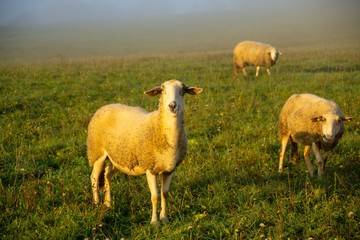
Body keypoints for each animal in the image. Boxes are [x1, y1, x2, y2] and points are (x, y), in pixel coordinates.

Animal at [86, 79, 202, 224]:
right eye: (162, 90)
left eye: (183, 91)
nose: (172, 106)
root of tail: (105, 106)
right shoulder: (150, 168)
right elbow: (155, 196)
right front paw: (154, 222)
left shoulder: (170, 169)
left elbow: (165, 194)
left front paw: (164, 219)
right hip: (97, 153)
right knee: (94, 177)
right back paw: (96, 203)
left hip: (118, 157)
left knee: (107, 174)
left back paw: (108, 203)